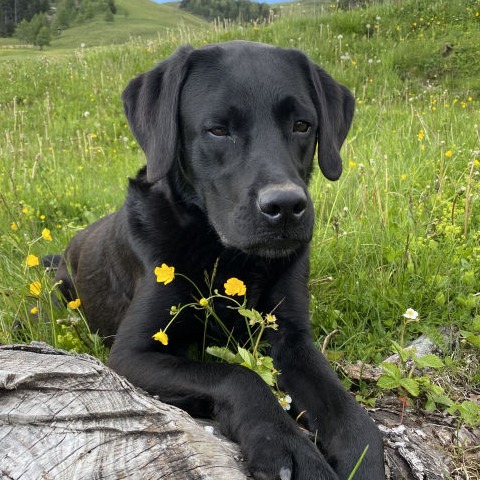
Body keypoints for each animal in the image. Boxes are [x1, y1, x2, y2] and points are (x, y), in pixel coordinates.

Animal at [54, 41, 385, 479]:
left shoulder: (293, 338)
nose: (285, 206)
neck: (231, 260)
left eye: (302, 125)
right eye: (218, 130)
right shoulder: (132, 355)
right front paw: (287, 444)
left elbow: (348, 412)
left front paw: (361, 455)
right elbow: (236, 375)